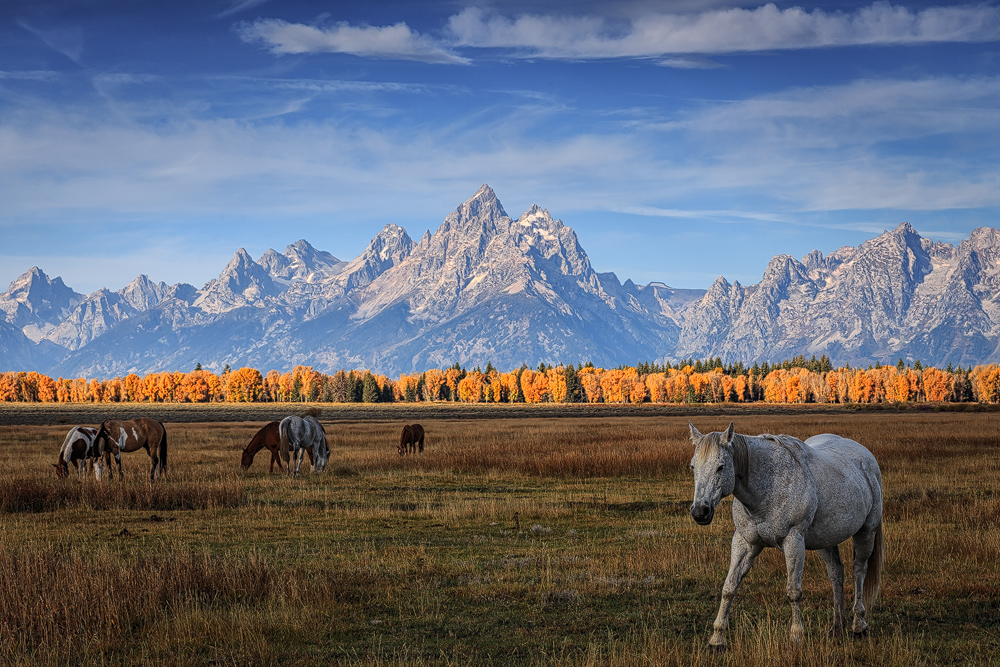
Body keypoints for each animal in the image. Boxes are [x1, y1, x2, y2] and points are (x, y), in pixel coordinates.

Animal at [688, 422, 884, 652]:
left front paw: (796, 637)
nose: (700, 511)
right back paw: (837, 627)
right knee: (836, 573)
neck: (767, 488)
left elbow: (793, 591)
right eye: (693, 467)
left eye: (720, 467)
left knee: (859, 571)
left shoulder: (793, 541)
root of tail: (865, 456)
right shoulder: (745, 543)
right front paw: (717, 640)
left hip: (866, 532)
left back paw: (859, 626)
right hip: (825, 541)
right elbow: (729, 587)